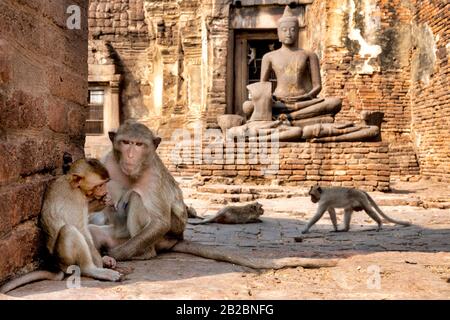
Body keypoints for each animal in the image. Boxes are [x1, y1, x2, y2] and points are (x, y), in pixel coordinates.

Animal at [0, 159, 121, 294]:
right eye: (100, 185)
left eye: (105, 183)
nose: (105, 191)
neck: (74, 184)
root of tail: (58, 265)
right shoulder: (76, 198)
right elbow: (80, 228)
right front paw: (99, 262)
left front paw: (105, 200)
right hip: (65, 259)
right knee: (69, 230)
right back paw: (92, 269)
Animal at [90, 121, 338, 268]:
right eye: (126, 142)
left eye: (139, 145)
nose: (131, 156)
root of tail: (177, 239)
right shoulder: (106, 161)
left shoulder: (153, 176)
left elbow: (159, 221)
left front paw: (114, 256)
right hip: (118, 233)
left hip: (163, 238)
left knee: (137, 201)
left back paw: (142, 254)